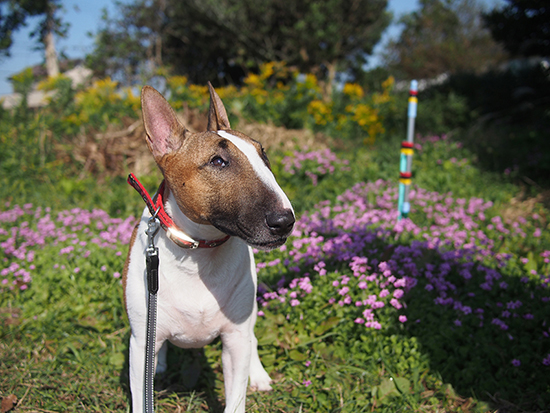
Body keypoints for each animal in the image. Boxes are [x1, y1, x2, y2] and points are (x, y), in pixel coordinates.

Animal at [124, 82, 298, 410]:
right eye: (217, 161)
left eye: (264, 156)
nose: (285, 221)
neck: (199, 250)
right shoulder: (140, 345)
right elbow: (142, 394)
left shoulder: (235, 340)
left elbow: (236, 398)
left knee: (253, 339)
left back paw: (259, 375)